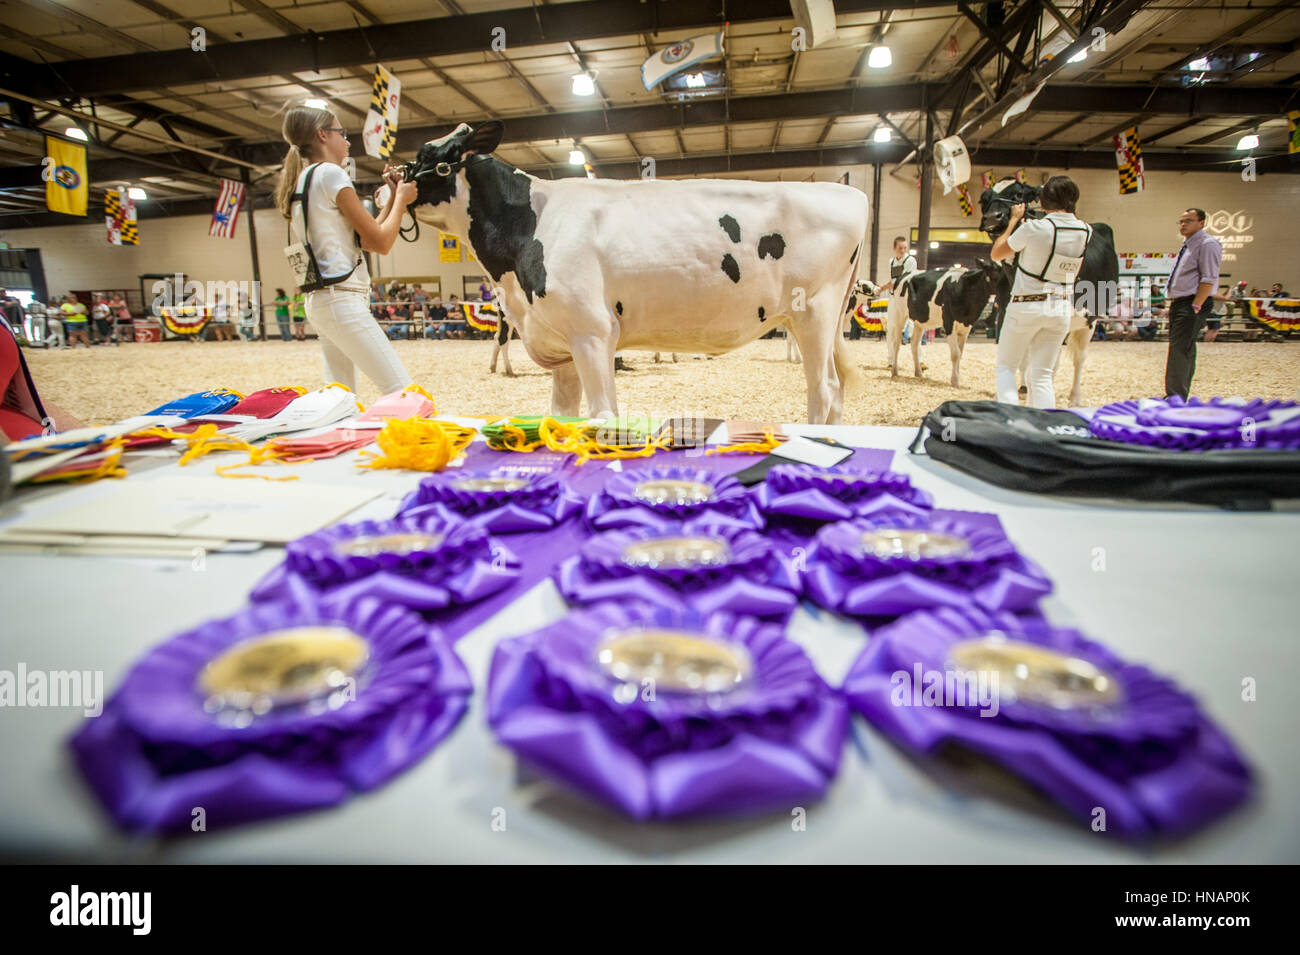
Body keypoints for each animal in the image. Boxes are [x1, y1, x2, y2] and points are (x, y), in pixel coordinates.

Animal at [403, 120, 873, 420]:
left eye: (425, 154)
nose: (388, 180)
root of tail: (850, 192)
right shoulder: (562, 343)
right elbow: (563, 416)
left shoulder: (592, 333)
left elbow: (602, 415)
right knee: (838, 391)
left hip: (814, 314)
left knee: (825, 392)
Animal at [883, 259, 1003, 387]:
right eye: (995, 271)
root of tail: (904, 275)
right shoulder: (949, 323)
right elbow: (955, 354)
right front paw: (955, 381)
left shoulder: (966, 327)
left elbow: (960, 353)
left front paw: (957, 378)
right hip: (898, 315)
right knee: (896, 343)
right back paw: (894, 371)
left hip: (920, 321)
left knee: (914, 343)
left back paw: (918, 373)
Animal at [977, 178, 1118, 405]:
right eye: (984, 199)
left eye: (1018, 194)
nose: (992, 217)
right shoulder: (1007, 314)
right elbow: (1018, 359)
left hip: (1089, 320)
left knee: (1078, 358)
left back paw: (1074, 398)